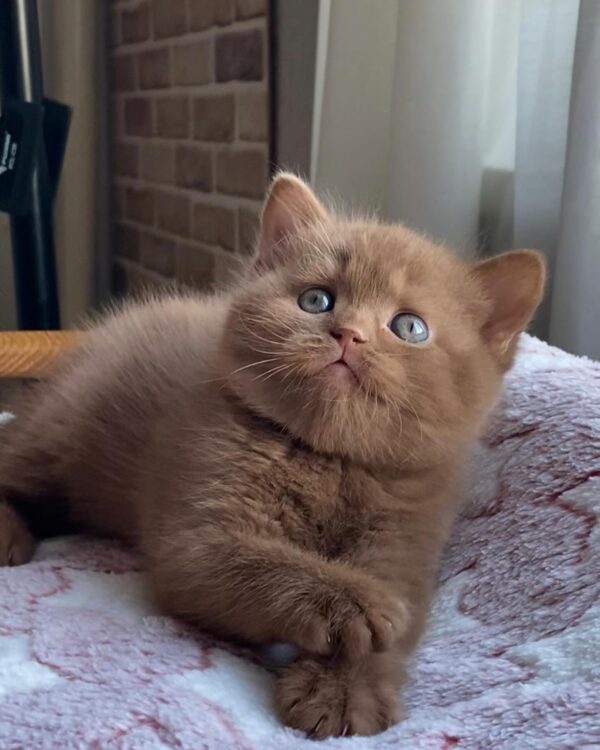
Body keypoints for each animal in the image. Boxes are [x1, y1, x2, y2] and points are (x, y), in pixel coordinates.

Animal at [0, 173, 544, 736]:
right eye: (316, 299)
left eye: (409, 327)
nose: (349, 334)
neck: (330, 461)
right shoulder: (196, 538)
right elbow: (260, 563)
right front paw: (354, 603)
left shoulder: (406, 543)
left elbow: (393, 632)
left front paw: (345, 688)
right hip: (58, 434)